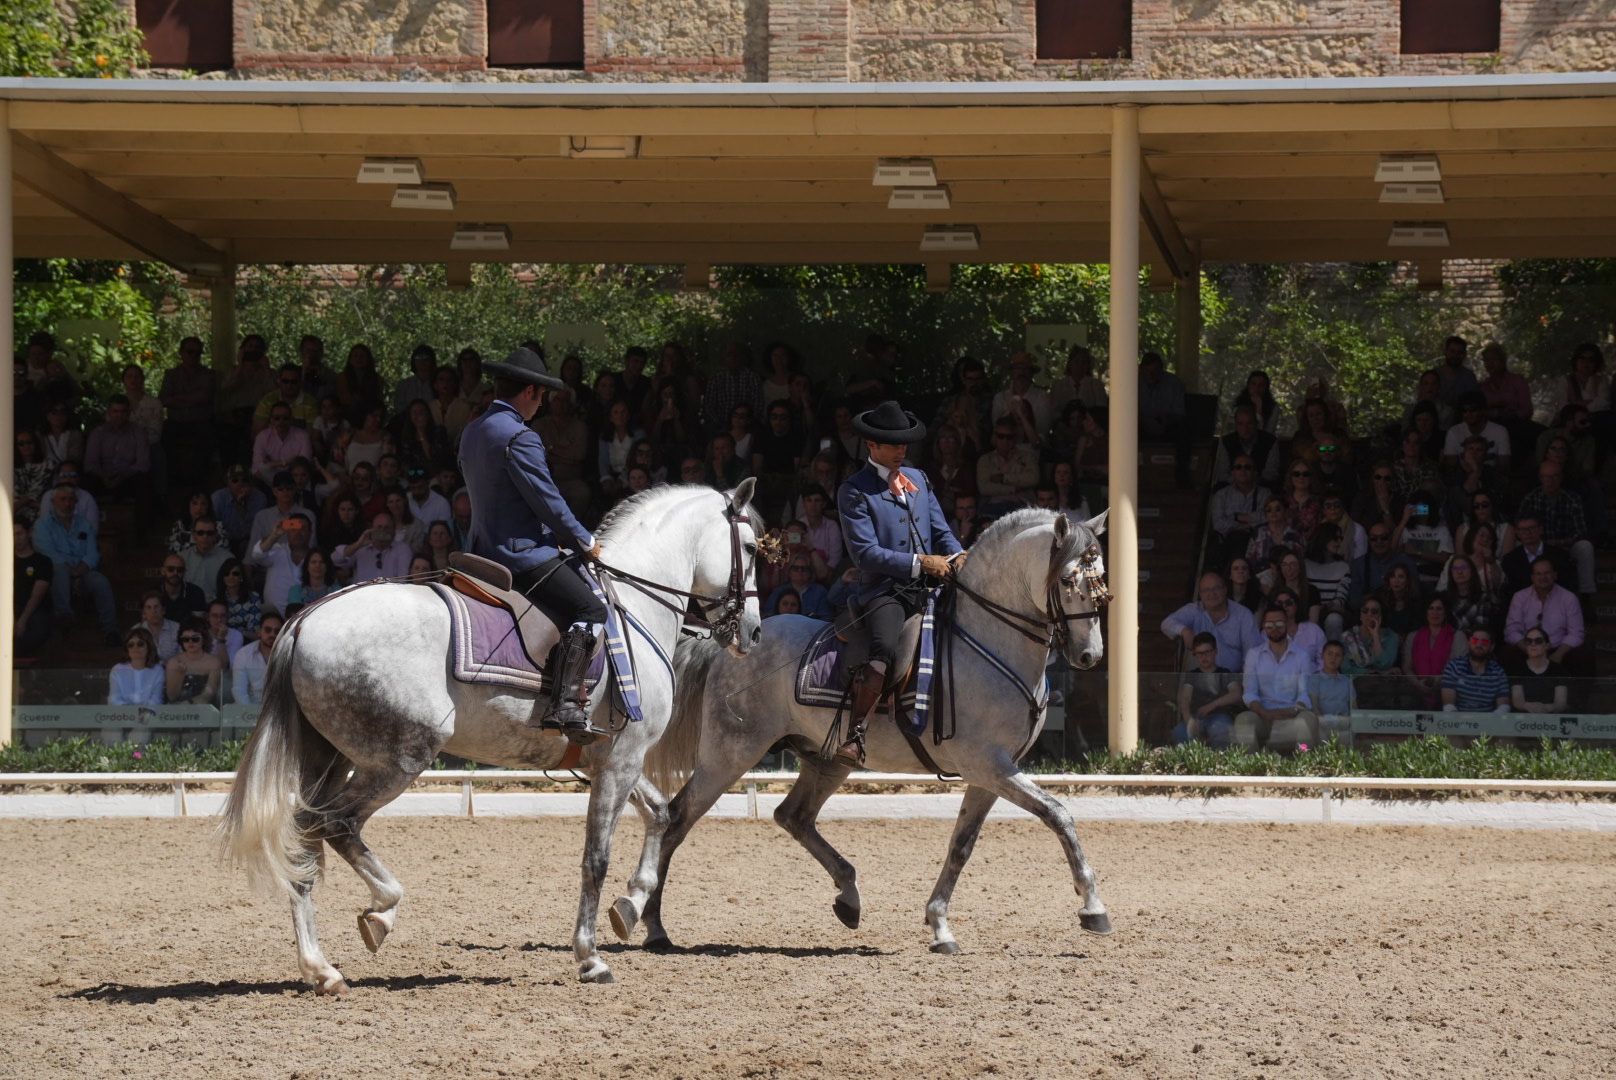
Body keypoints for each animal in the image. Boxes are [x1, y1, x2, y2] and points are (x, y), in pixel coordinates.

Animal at [219, 485, 762, 989]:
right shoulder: (622, 759)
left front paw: (629, 907)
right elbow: (596, 858)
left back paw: (321, 968)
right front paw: (590, 957)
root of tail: (306, 619)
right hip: (398, 759)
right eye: (753, 548)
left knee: (304, 837)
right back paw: (381, 912)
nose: (753, 633)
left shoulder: (607, 760)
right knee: (336, 824)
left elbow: (661, 814)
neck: (634, 608)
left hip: (329, 758)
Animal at [627, 510, 1111, 957]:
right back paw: (653, 926)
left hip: (828, 760)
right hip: (730, 755)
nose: (1089, 656)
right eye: (1068, 579)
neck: (989, 640)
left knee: (794, 816)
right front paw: (1093, 908)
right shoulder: (989, 765)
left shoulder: (990, 773)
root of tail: (727, 645)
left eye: (1101, 580)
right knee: (677, 819)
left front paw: (940, 925)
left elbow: (962, 845)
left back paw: (849, 897)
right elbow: (1059, 814)